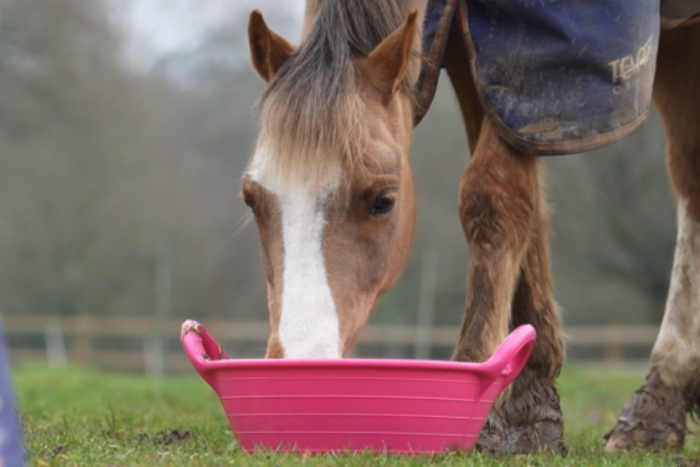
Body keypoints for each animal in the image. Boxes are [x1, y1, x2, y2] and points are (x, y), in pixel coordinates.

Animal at [242, 0, 700, 455]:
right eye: (250, 198)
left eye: (383, 200)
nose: (299, 362)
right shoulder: (475, 55)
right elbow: (528, 205)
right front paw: (530, 408)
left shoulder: (533, 62)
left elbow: (493, 196)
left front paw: (480, 398)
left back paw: (656, 404)